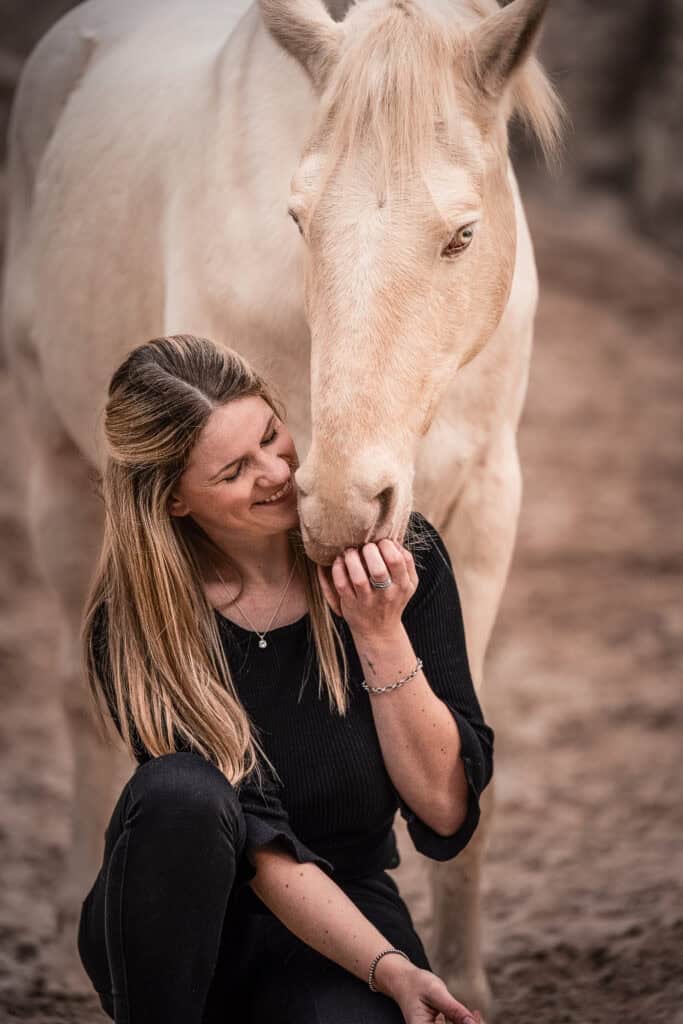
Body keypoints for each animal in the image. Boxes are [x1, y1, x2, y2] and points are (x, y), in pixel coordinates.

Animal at [2, 0, 561, 1013]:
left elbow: (472, 761)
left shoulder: (489, 501)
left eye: (462, 234)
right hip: (58, 471)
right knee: (79, 701)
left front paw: (462, 980)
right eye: (299, 220)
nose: (340, 505)